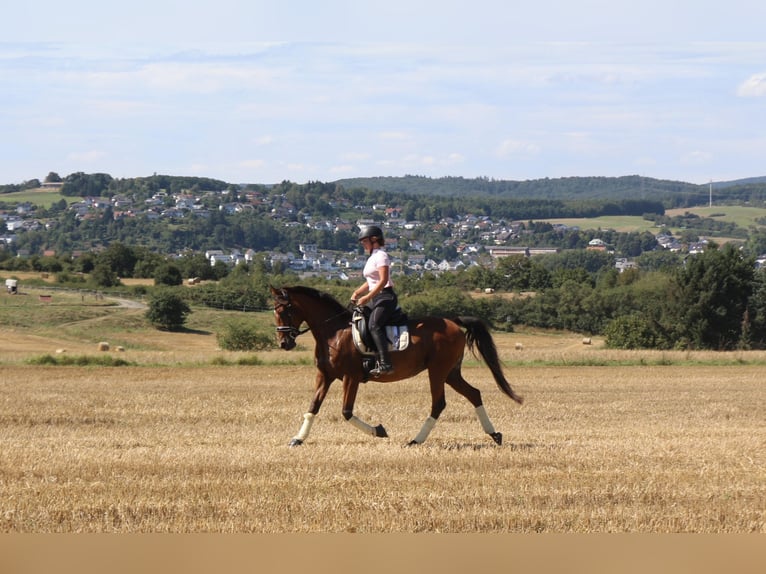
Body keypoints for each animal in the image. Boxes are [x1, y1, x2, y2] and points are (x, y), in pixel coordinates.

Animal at [268, 286, 520, 448]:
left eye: (284, 311)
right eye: (274, 312)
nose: (284, 343)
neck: (334, 333)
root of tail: (453, 322)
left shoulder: (351, 377)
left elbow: (346, 412)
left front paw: (379, 431)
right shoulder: (325, 375)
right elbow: (313, 406)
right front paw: (297, 439)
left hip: (437, 371)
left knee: (439, 403)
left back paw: (415, 440)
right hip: (450, 373)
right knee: (474, 394)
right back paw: (495, 435)